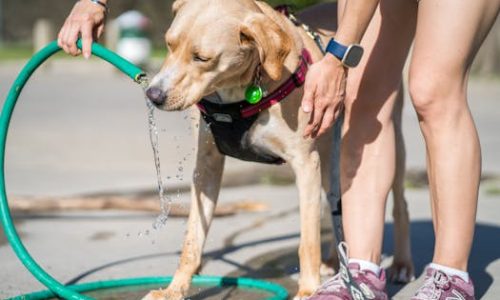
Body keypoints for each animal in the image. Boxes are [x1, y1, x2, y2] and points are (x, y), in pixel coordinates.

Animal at [143, 1, 412, 298]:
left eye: (202, 58)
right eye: (169, 45)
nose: (153, 95)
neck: (240, 93)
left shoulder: (305, 163)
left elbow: (308, 241)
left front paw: (308, 290)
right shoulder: (206, 166)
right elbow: (193, 238)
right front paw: (173, 289)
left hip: (386, 140)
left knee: (400, 203)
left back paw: (401, 264)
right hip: (333, 156)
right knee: (335, 204)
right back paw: (334, 262)